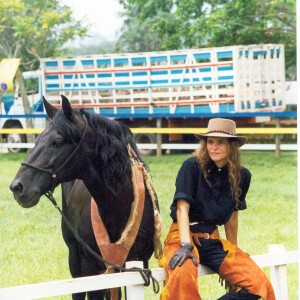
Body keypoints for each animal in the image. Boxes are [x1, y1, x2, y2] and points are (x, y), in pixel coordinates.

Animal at [9, 95, 162, 298]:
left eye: (57, 142)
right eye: (37, 140)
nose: (17, 187)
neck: (119, 206)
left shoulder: (137, 265)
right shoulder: (92, 269)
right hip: (75, 261)